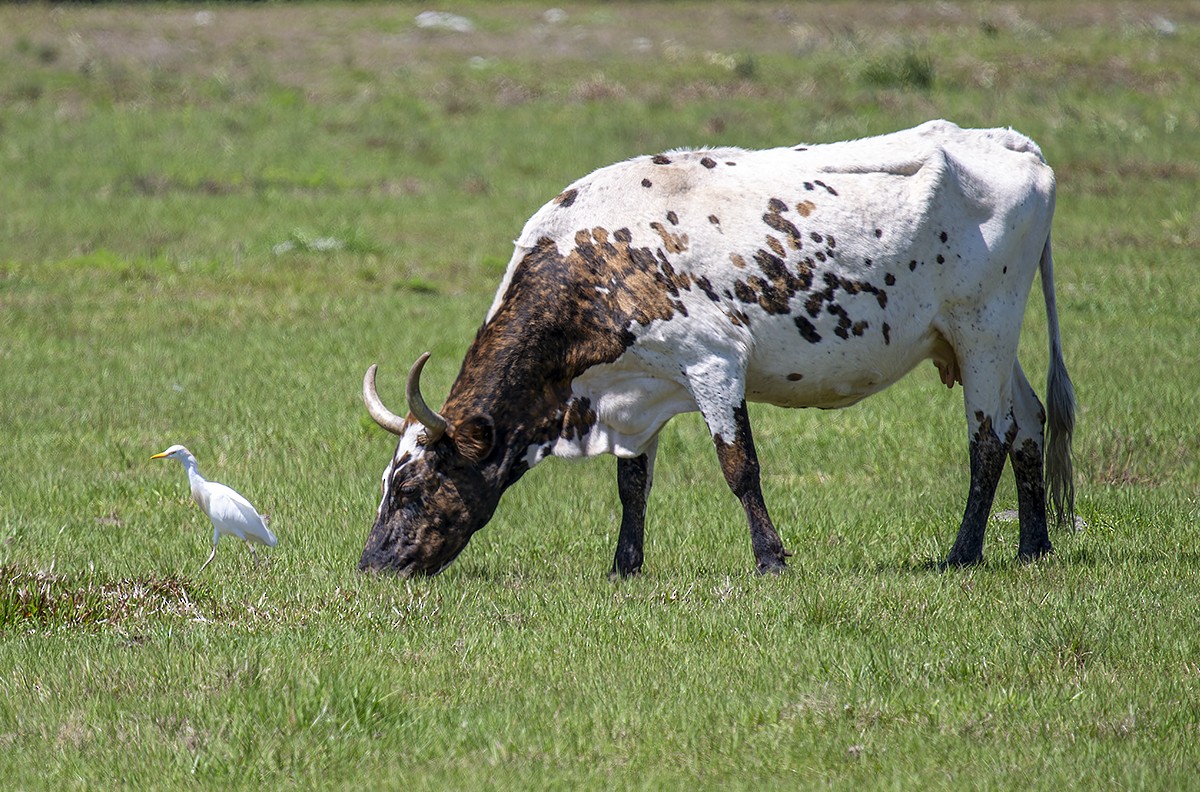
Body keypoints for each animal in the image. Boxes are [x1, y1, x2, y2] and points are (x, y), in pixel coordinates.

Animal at [359, 119, 1075, 578]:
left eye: (413, 486)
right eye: (390, 483)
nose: (372, 565)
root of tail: (1010, 141)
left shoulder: (713, 365)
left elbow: (740, 468)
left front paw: (770, 560)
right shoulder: (637, 389)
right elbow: (632, 483)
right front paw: (625, 568)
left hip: (984, 327)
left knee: (987, 440)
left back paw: (963, 554)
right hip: (982, 338)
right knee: (1029, 421)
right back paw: (1034, 546)